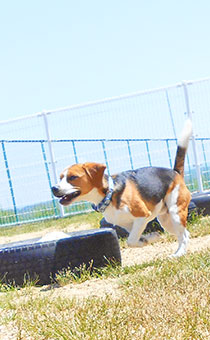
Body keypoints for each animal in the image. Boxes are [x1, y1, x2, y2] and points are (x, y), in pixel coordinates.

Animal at [52, 121, 192, 256]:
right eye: (60, 178)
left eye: (72, 177)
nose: (53, 188)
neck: (109, 195)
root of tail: (175, 172)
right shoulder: (128, 224)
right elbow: (135, 239)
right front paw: (149, 238)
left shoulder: (142, 216)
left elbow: (131, 240)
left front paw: (150, 238)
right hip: (165, 220)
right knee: (185, 234)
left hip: (175, 212)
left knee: (184, 236)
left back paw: (178, 254)